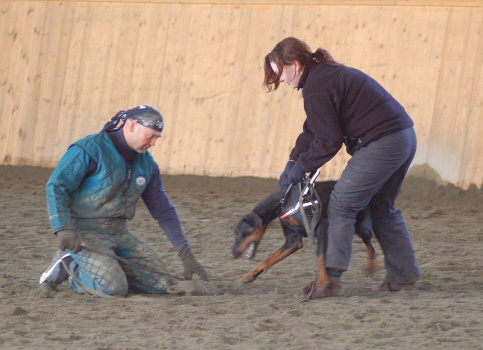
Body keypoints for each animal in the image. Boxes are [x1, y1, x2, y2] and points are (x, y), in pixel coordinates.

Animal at [232, 178, 378, 290]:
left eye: (239, 234)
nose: (232, 255)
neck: (283, 202)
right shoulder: (292, 241)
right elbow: (270, 259)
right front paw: (249, 276)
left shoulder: (322, 227)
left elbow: (319, 257)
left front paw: (322, 282)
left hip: (361, 227)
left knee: (371, 247)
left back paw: (371, 268)